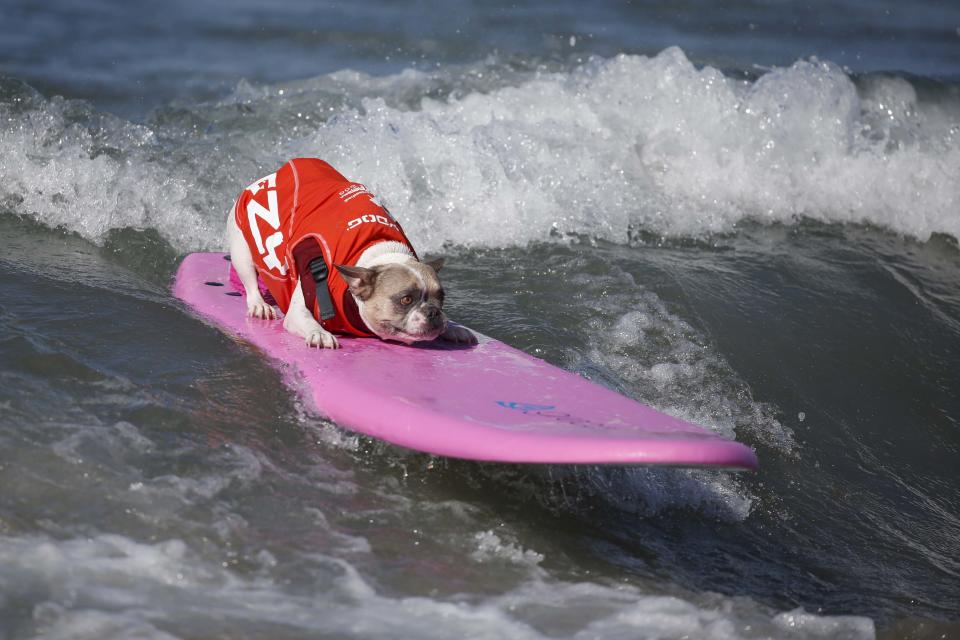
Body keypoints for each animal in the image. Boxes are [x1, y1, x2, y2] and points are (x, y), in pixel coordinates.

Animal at [226, 160, 480, 350]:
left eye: (441, 298)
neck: (376, 251)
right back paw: (259, 305)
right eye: (406, 299)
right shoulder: (298, 309)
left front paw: (454, 327)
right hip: (242, 250)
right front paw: (320, 333)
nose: (433, 312)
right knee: (250, 282)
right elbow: (306, 319)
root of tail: (270, 175)